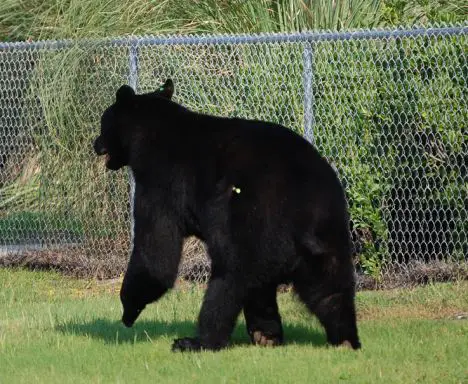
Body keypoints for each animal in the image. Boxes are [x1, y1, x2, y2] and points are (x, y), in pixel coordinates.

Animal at [92, 79, 362, 352]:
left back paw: (197, 341)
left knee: (228, 279)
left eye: (103, 122)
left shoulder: (161, 183)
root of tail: (305, 199)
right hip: (328, 231)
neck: (148, 136)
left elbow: (156, 252)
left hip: (250, 219)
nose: (95, 143)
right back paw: (333, 338)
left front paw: (128, 308)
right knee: (328, 288)